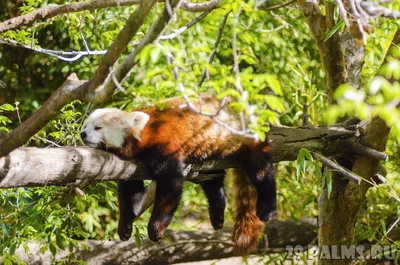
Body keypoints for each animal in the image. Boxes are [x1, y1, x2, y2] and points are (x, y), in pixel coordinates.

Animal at [81, 94, 276, 252]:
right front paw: (125, 225)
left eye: (98, 128)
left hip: (246, 138)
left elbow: (170, 186)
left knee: (261, 170)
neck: (143, 134)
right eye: (86, 125)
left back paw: (267, 207)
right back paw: (217, 212)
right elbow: (130, 193)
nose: (82, 134)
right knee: (213, 182)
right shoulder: (131, 166)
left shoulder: (164, 145)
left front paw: (156, 228)